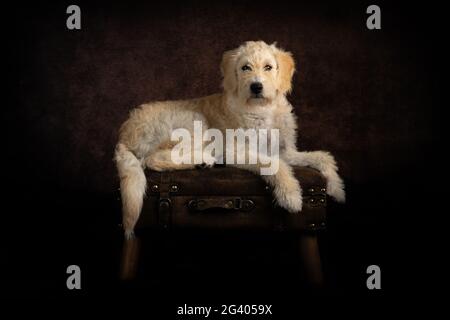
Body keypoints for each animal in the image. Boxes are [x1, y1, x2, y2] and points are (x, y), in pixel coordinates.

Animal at [115, 40, 344, 238]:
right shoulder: (235, 151)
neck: (262, 109)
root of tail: (124, 131)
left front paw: (336, 188)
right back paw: (202, 160)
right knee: (153, 159)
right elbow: (275, 165)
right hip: (195, 122)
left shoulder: (285, 151)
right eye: (245, 68)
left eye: (268, 67)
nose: (256, 86)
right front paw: (291, 195)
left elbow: (322, 157)